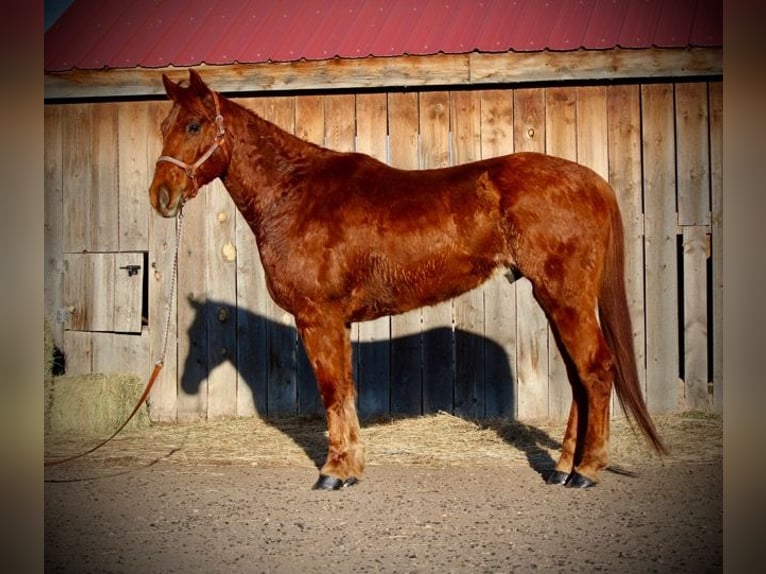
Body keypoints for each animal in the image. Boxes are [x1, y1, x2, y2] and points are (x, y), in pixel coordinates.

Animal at [150, 71, 664, 490]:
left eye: (194, 125)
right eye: (163, 126)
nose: (161, 196)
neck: (295, 193)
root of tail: (592, 182)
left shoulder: (318, 317)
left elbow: (333, 391)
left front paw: (333, 472)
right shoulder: (337, 322)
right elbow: (346, 390)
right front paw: (350, 468)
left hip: (565, 297)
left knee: (595, 370)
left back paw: (586, 471)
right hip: (558, 301)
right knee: (580, 379)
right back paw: (562, 468)